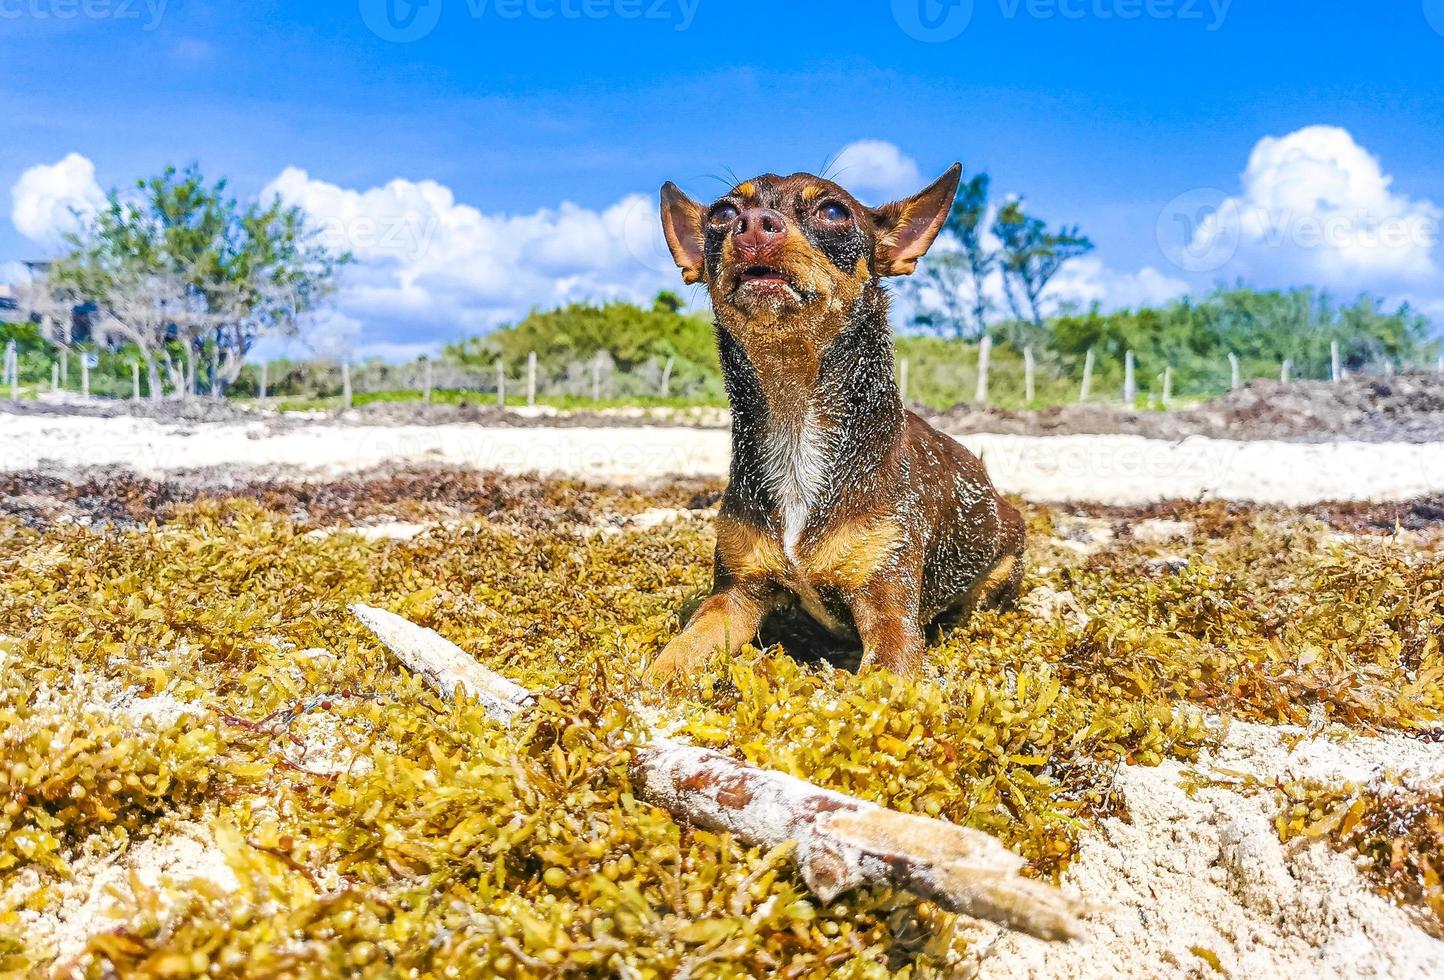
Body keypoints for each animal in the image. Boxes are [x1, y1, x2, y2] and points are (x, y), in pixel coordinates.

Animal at [644, 164, 1028, 687]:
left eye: (832, 211)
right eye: (723, 213)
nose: (754, 225)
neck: (795, 416)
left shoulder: (890, 615)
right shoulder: (733, 598)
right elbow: (680, 651)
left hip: (1003, 564)